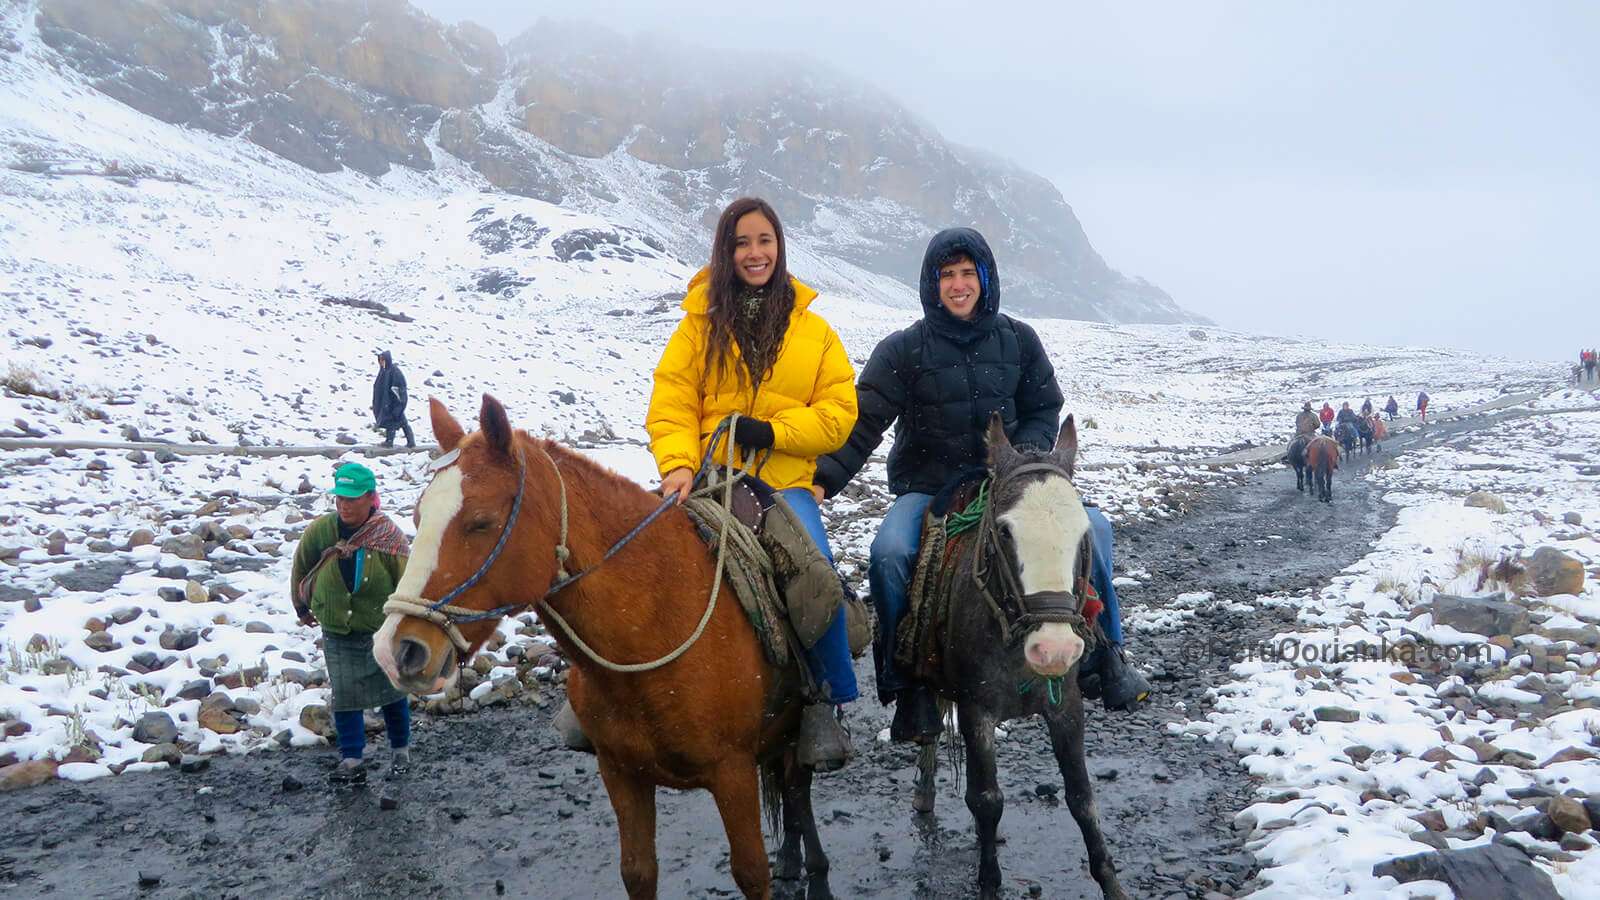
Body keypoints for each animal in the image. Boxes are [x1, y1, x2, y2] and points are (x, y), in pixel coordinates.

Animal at [371, 397, 825, 896]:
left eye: (481, 522)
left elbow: (751, 871)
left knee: (799, 788)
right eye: (417, 518)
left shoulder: (732, 773)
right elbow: (638, 871)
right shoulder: (620, 773)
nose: (396, 650)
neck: (654, 628)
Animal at [908, 413, 1132, 896]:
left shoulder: (1066, 705)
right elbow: (987, 800)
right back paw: (925, 791)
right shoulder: (976, 711)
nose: (1054, 650)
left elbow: (1082, 797)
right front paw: (989, 882)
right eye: (1005, 531)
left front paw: (1112, 883)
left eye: (1083, 534)